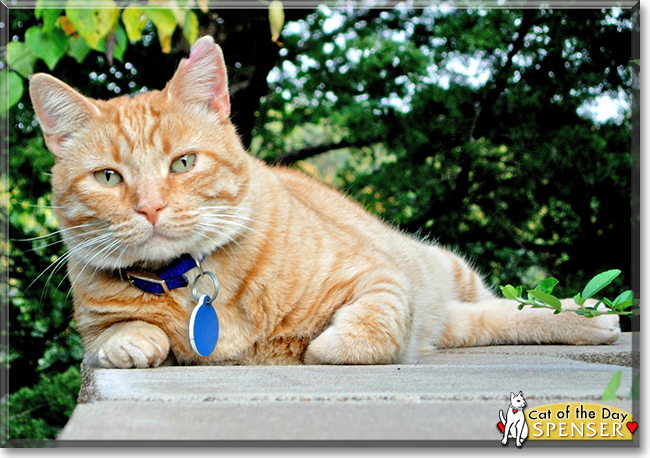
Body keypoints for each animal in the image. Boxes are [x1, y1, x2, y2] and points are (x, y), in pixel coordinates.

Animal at [27, 37, 620, 370]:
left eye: (183, 163)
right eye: (108, 177)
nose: (149, 209)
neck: (188, 279)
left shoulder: (379, 278)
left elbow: (366, 330)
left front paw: (317, 347)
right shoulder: (95, 328)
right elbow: (114, 335)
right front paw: (132, 341)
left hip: (444, 270)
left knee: (507, 304)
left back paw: (588, 314)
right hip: (456, 314)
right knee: (494, 318)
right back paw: (592, 321)